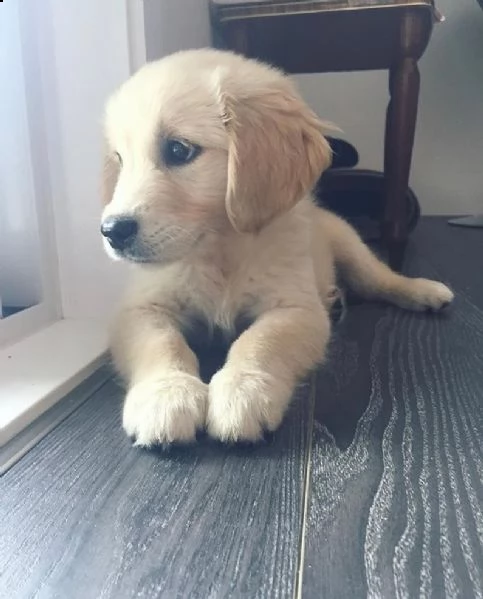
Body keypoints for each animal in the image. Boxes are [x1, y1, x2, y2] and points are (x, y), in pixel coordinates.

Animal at [100, 50, 456, 446]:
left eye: (179, 150)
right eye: (120, 160)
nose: (111, 231)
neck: (219, 250)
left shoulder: (296, 307)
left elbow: (261, 339)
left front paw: (243, 390)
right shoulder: (140, 309)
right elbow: (161, 343)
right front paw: (165, 393)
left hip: (350, 244)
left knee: (380, 279)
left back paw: (424, 291)